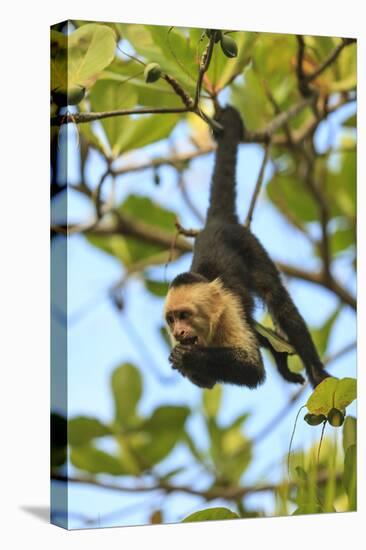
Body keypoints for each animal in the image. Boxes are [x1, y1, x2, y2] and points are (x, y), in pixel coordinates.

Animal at [163, 106, 328, 392]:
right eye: (172, 319)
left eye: (184, 315)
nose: (177, 332)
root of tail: (217, 222)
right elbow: (208, 382)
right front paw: (183, 359)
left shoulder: (230, 311)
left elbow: (252, 369)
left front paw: (187, 356)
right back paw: (283, 362)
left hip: (249, 244)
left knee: (278, 300)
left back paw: (315, 372)